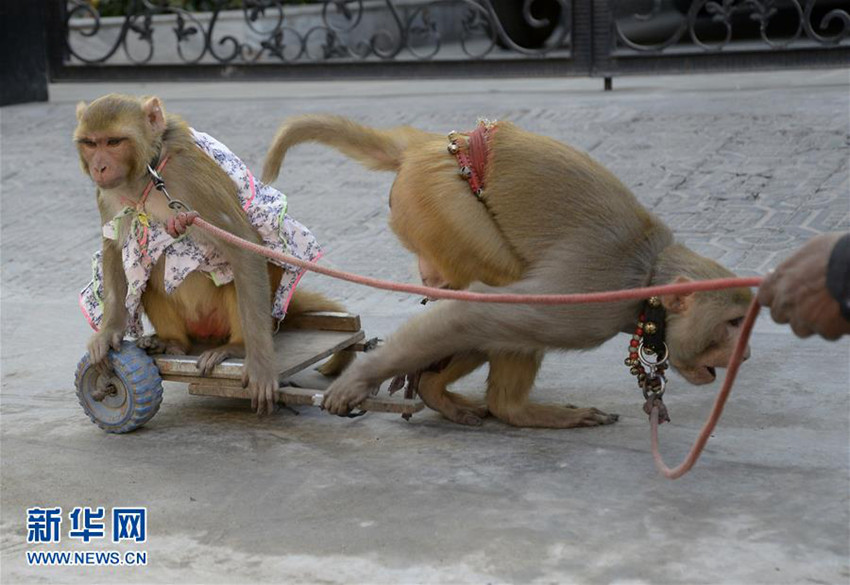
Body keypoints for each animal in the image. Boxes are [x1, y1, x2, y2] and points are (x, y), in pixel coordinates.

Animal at [264, 115, 748, 428]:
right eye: (732, 323)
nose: (742, 354)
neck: (647, 280)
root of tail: (420, 146)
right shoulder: (591, 308)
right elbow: (482, 313)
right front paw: (360, 380)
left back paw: (434, 387)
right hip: (440, 203)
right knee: (493, 294)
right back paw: (511, 410)